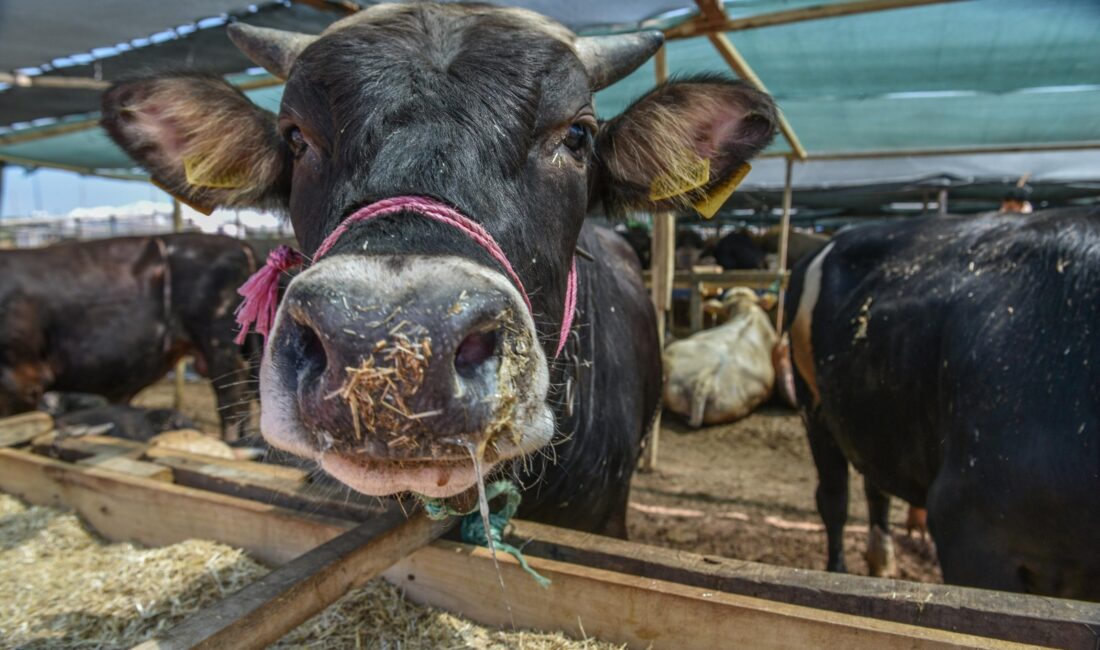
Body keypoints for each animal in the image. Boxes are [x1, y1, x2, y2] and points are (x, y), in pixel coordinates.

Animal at [787, 210, 1100, 598]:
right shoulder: (968, 528)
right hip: (813, 405)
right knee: (834, 499)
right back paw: (838, 572)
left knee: (876, 487)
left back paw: (881, 565)